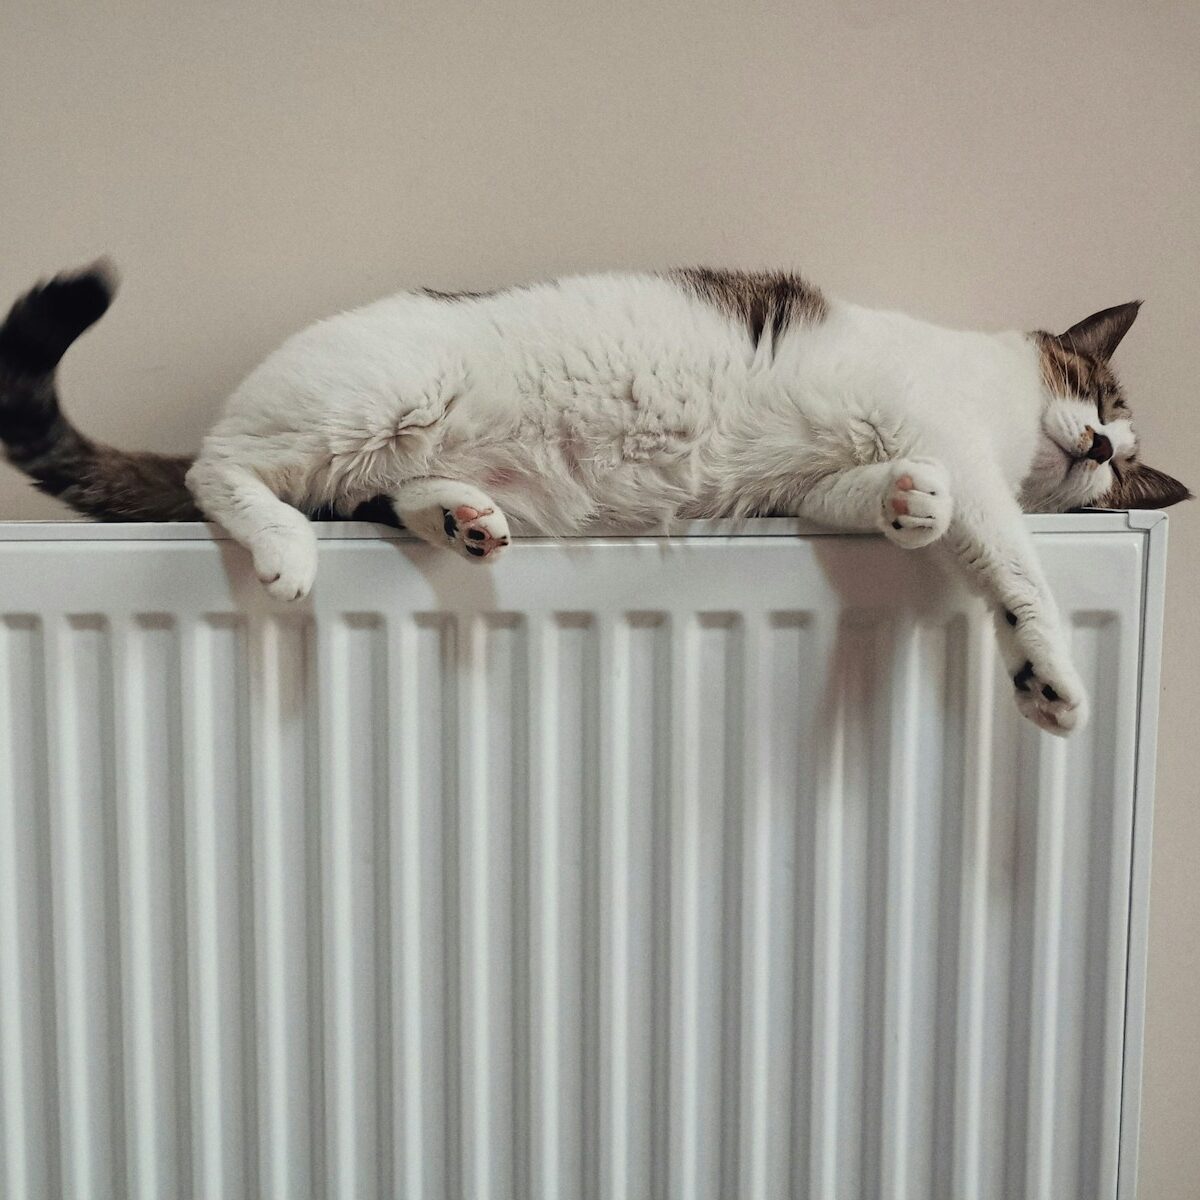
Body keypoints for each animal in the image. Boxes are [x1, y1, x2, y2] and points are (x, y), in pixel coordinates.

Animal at [0, 261, 1185, 729]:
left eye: (1123, 469)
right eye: (1097, 395)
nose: (1097, 445)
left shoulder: (816, 486)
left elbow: (891, 497)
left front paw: (908, 507)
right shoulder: (963, 447)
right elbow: (1014, 565)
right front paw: (1048, 676)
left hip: (382, 451)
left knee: (378, 496)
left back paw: (461, 518)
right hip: (368, 402)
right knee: (218, 470)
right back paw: (285, 546)